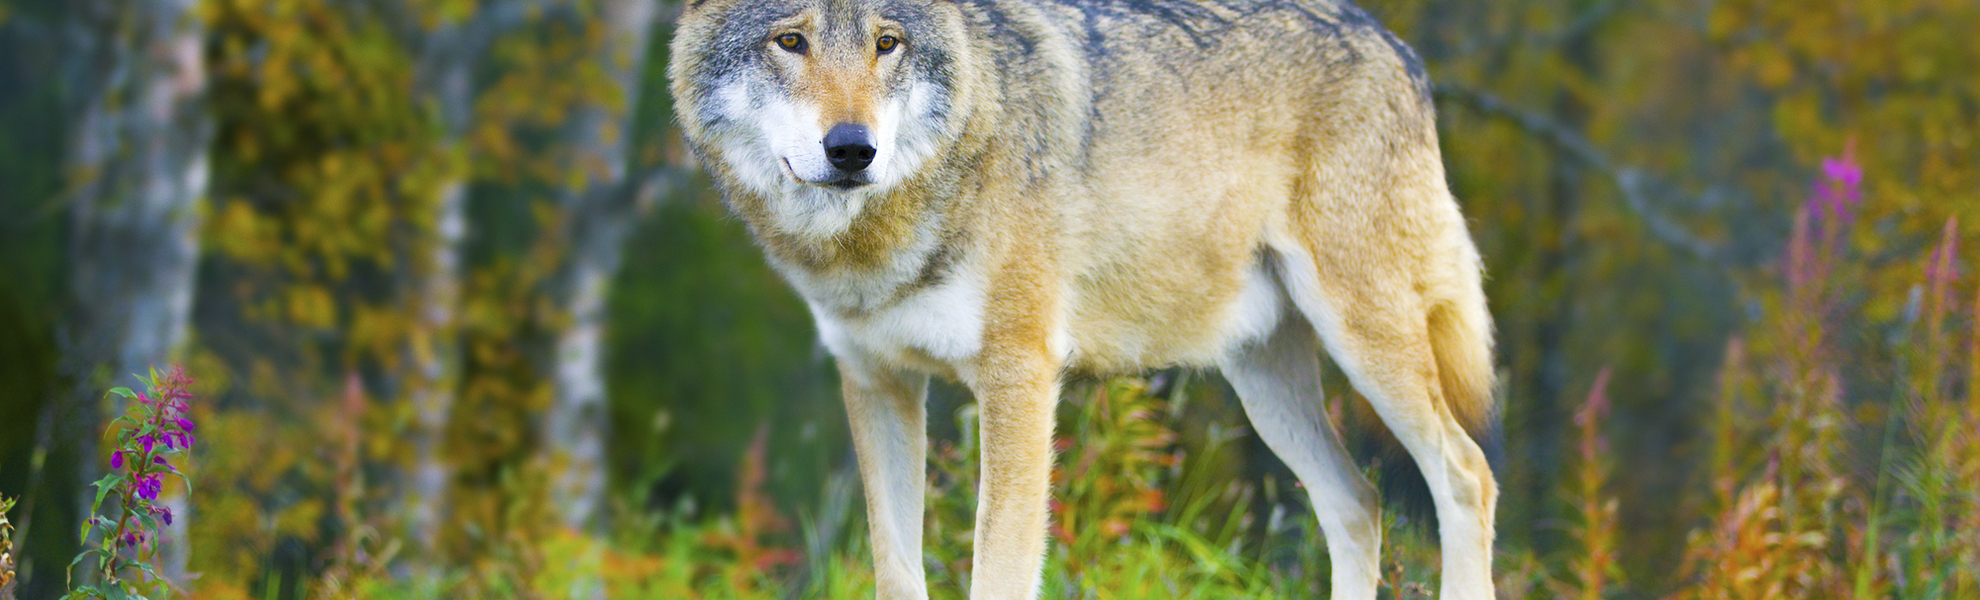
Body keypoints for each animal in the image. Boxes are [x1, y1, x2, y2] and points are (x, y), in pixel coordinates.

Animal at [669, 0, 1498, 598]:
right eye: (790, 40)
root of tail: (1397, 47)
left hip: (1365, 344)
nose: (852, 149)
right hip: (1266, 384)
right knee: (1356, 502)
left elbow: (998, 570)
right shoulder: (876, 382)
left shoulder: (1020, 376)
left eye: (887, 42)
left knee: (1466, 475)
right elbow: (897, 571)